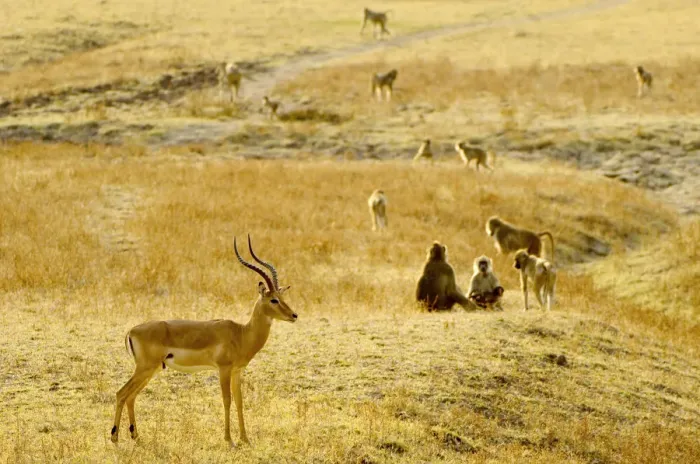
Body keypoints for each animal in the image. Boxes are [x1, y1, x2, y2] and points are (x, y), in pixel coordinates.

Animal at [110, 235, 297, 447]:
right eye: (273, 300)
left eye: (282, 296)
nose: (294, 315)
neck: (241, 333)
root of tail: (132, 330)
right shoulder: (223, 369)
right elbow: (227, 400)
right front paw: (229, 440)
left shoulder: (237, 371)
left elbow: (240, 401)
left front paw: (245, 440)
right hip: (145, 368)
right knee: (121, 393)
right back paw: (114, 437)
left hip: (152, 370)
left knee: (131, 396)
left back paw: (135, 436)